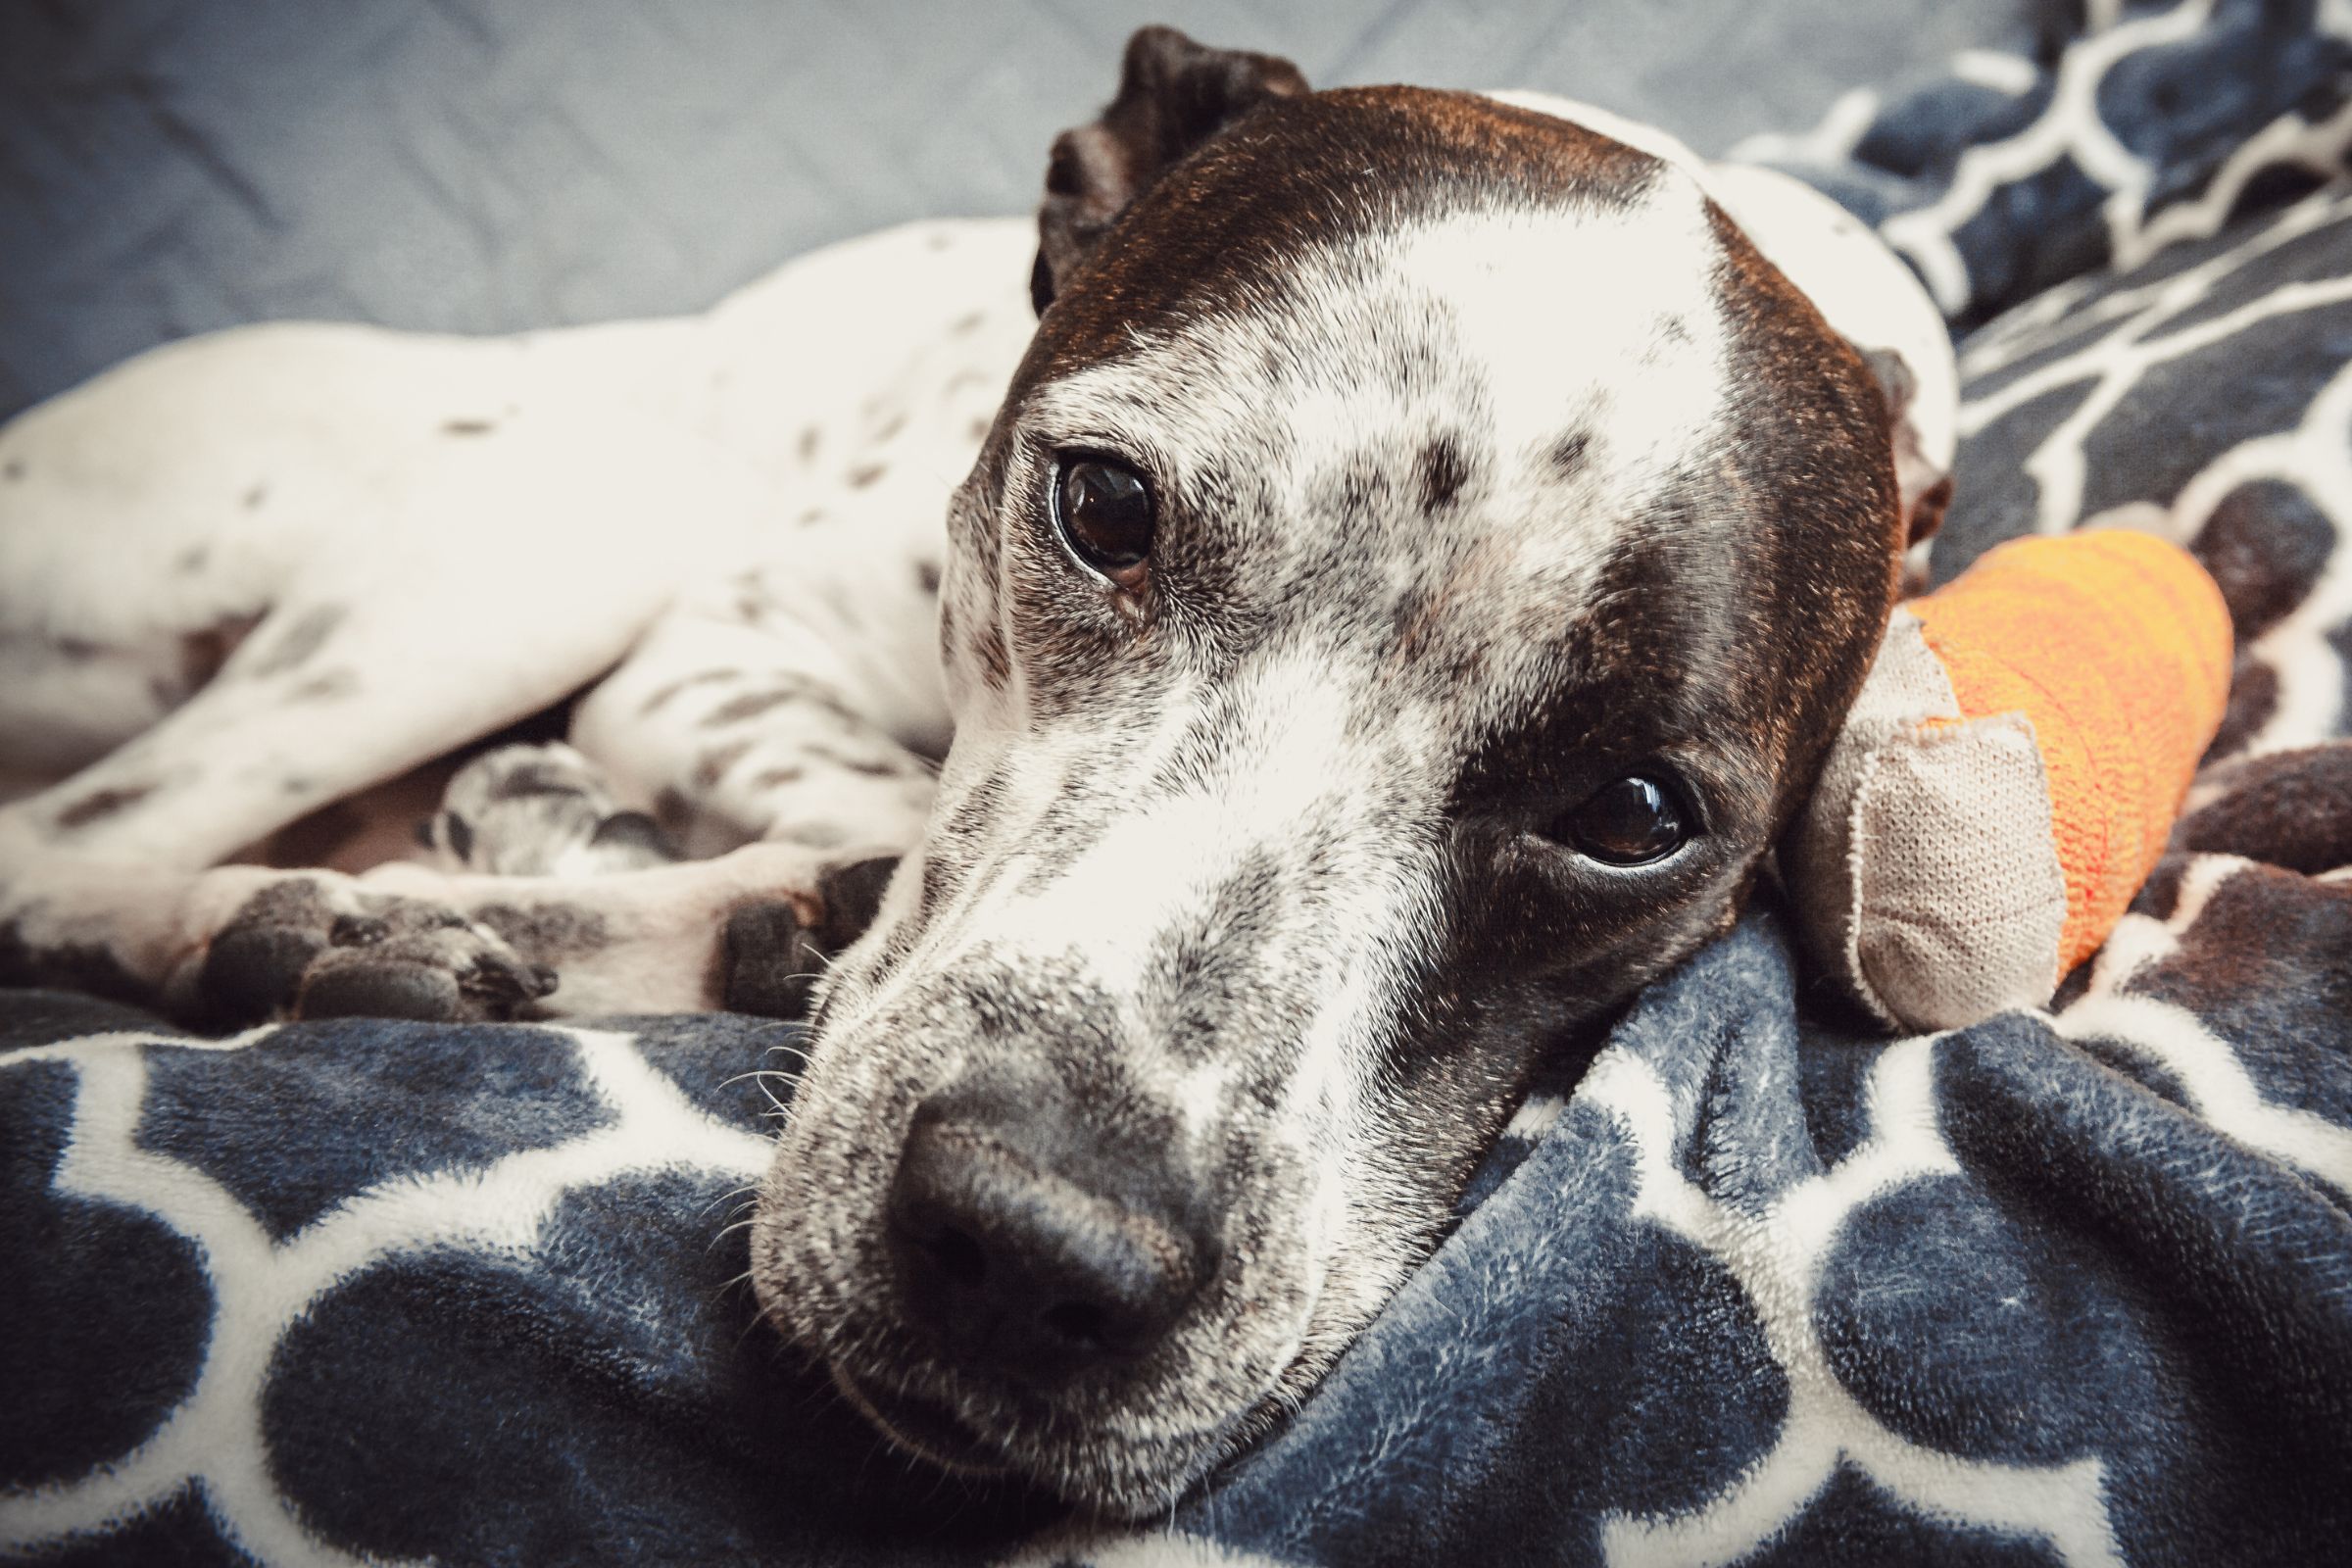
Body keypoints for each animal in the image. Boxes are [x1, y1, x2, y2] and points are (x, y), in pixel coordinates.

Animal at [0, 27, 1947, 1523]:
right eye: (1104, 507)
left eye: (1632, 816)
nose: (1033, 1255)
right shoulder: (717, 650)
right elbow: (866, 801)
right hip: (590, 512)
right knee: (53, 851)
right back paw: (309, 917)